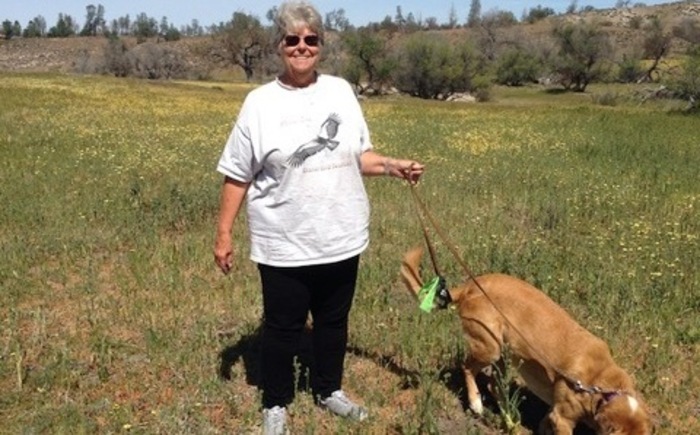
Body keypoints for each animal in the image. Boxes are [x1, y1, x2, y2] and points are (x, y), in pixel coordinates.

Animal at [402, 247, 652, 434]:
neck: (602, 386)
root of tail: (470, 286)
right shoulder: (563, 418)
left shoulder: (553, 413)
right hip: (490, 347)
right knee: (467, 368)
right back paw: (476, 403)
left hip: (503, 353)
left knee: (494, 384)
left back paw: (509, 417)